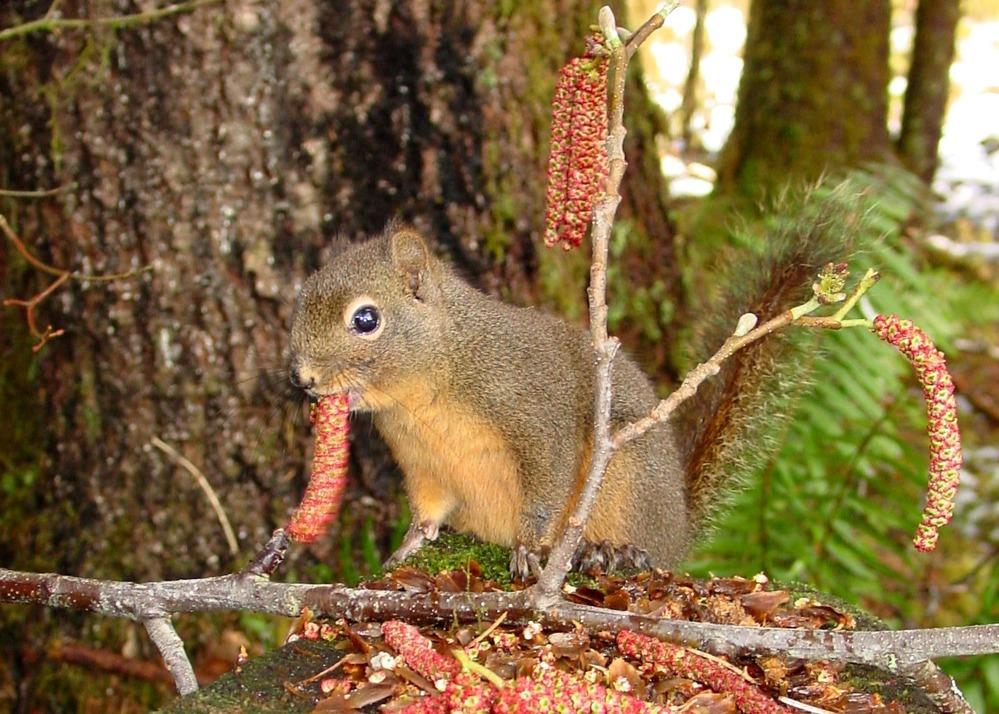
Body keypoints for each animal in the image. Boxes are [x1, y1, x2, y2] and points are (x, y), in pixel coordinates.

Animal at [288, 218, 844, 580]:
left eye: (366, 319)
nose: (303, 378)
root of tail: (680, 531)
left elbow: (545, 486)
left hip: (627, 480)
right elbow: (427, 514)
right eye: (300, 298)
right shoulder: (423, 465)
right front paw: (404, 549)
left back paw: (614, 553)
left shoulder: (534, 417)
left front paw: (527, 548)